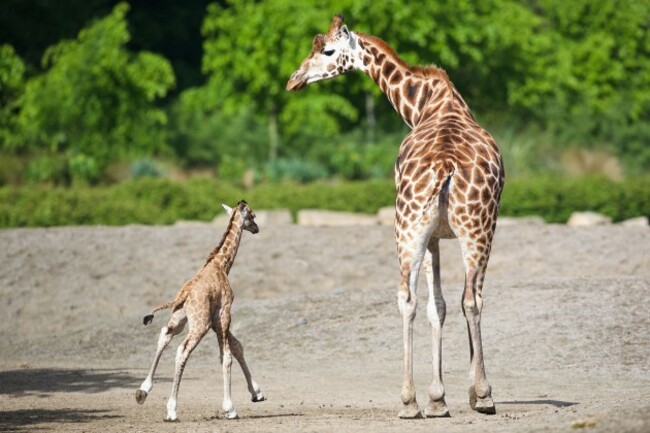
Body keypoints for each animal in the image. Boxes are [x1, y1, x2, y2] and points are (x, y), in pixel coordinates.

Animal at [134, 201, 266, 420]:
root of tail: (185, 293)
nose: (257, 229)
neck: (221, 264)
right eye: (253, 215)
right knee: (182, 350)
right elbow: (227, 356)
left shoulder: (214, 318)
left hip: (181, 318)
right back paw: (171, 409)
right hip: (199, 323)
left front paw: (257, 393)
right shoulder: (223, 312)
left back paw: (143, 391)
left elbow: (236, 346)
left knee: (165, 335)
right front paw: (230, 407)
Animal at [286, 15, 504, 416]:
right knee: (468, 299)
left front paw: (437, 398)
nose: (294, 80)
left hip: (418, 227)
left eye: (328, 50)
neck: (423, 104)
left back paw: (412, 400)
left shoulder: (432, 234)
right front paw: (443, 396)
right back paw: (477, 395)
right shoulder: (437, 236)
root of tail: (446, 167)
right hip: (470, 228)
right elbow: (441, 306)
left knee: (412, 298)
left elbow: (435, 305)